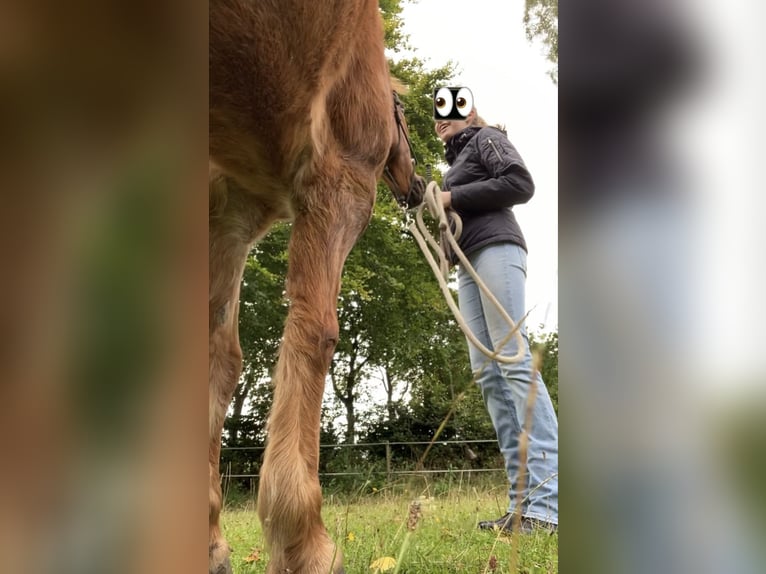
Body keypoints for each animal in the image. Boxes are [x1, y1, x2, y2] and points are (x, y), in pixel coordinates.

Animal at [209, 2, 426, 572]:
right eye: (402, 114)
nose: (417, 185)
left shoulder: (227, 211)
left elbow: (220, 361)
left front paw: (209, 541)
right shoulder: (340, 181)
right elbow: (316, 332)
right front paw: (303, 541)